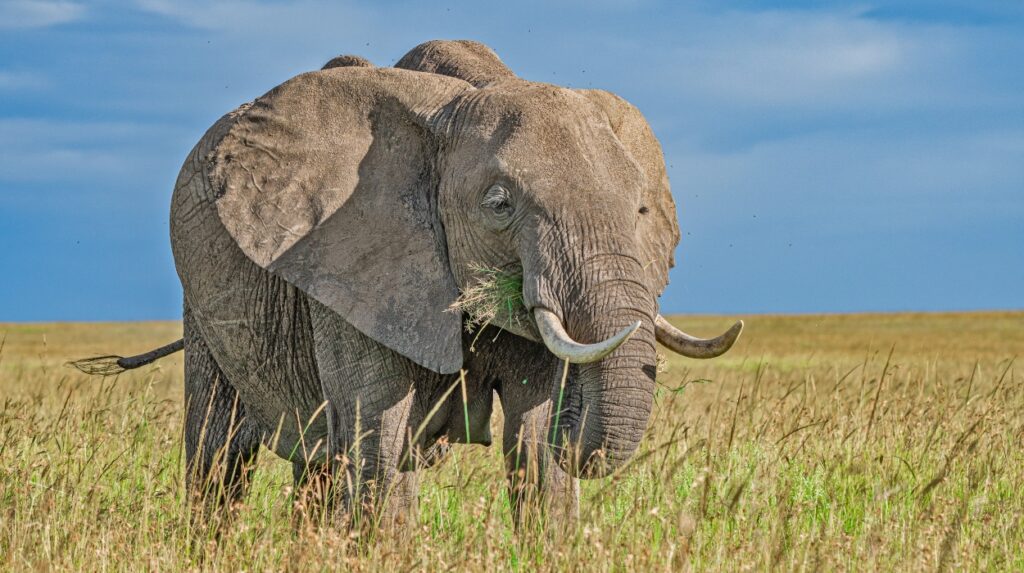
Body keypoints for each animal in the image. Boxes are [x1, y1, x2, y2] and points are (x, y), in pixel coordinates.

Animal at [81, 40, 737, 527]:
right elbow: (381, 438)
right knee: (221, 455)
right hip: (201, 298)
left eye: (641, 212)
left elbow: (533, 445)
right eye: (499, 204)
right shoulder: (349, 267)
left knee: (316, 461)